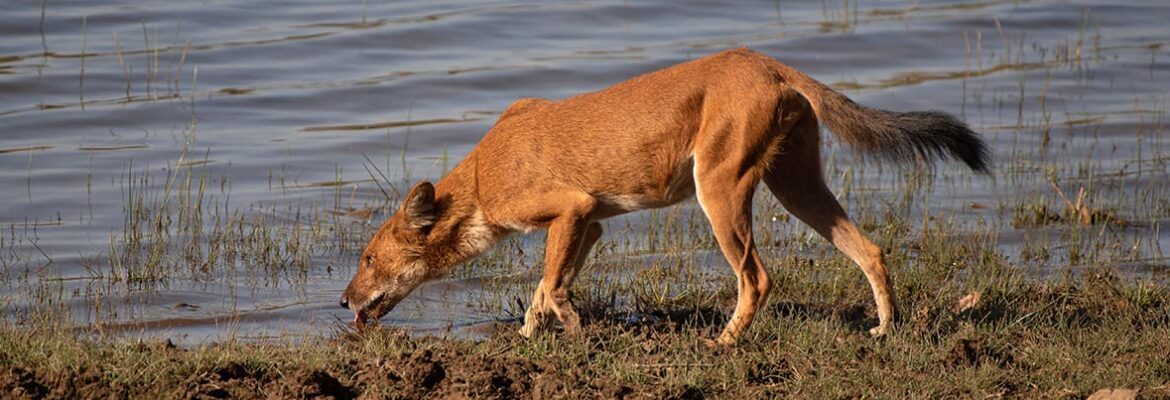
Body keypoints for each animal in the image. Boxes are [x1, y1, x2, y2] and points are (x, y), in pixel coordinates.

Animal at [339, 48, 987, 346]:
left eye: (367, 258)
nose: (344, 302)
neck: (477, 180)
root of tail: (770, 62)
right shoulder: (591, 220)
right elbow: (545, 288)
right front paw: (528, 338)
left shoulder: (569, 210)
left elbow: (550, 285)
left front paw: (570, 330)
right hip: (797, 186)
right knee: (871, 250)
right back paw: (884, 329)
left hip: (718, 190)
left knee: (757, 278)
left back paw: (722, 343)